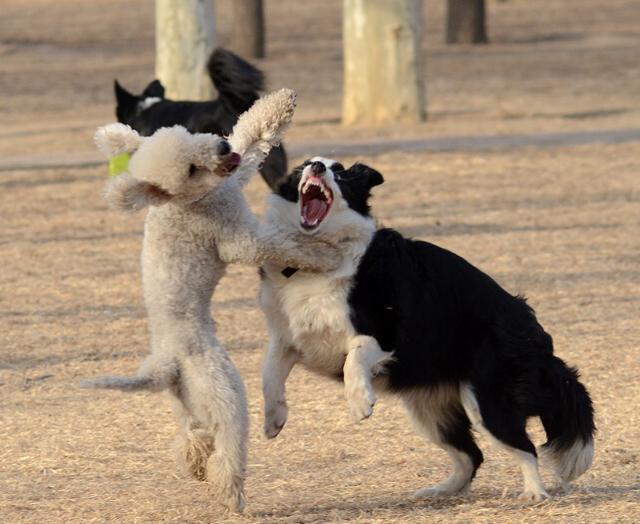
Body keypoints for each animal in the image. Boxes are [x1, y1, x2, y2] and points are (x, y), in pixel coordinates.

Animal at [258, 158, 596, 502]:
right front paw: (273, 418)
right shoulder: (289, 338)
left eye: (340, 174)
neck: (314, 259)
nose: (316, 167)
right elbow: (269, 373)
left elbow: (354, 356)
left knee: (524, 448)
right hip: (430, 410)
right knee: (470, 455)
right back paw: (440, 491)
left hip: (487, 400)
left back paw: (534, 493)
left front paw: (360, 402)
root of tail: (538, 337)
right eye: (300, 168)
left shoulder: (384, 333)